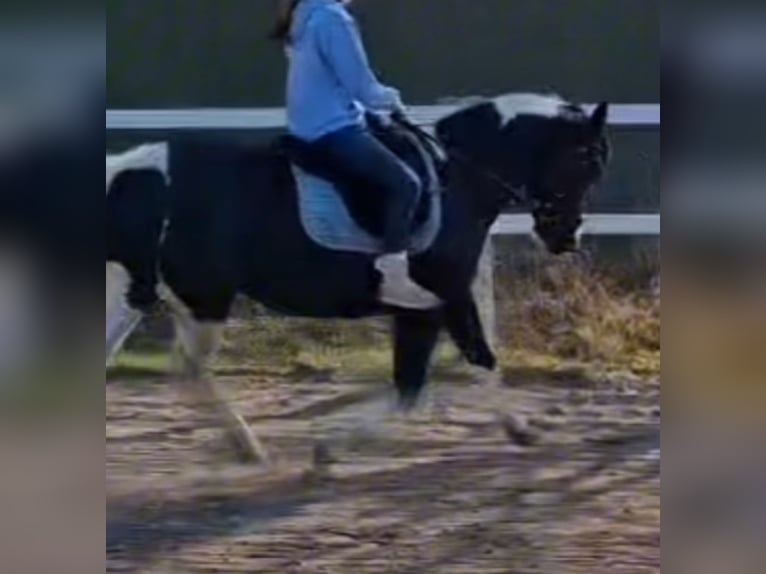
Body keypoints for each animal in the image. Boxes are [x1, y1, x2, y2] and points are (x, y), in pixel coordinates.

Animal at [106, 93, 612, 463]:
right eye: (585, 161)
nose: (566, 237)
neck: (457, 180)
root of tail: (132, 170)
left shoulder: (431, 304)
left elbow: (437, 376)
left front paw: (518, 428)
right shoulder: (438, 298)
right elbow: (442, 375)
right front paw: (330, 448)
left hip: (138, 294)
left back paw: (243, 445)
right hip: (205, 300)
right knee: (189, 369)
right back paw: (248, 445)